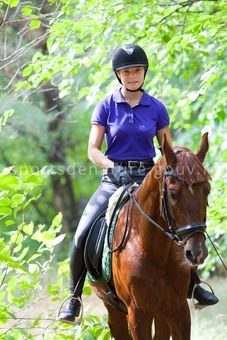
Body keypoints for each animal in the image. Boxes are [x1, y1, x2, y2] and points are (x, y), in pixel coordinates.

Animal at [89, 133, 210, 340]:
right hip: (114, 309)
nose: (197, 253)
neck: (154, 250)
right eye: (173, 193)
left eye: (207, 190)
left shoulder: (179, 309)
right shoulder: (137, 313)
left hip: (161, 312)